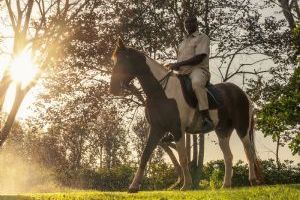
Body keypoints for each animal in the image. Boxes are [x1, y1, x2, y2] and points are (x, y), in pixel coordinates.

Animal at [109, 38, 262, 192]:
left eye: (123, 60)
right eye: (114, 61)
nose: (113, 89)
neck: (162, 92)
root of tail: (242, 93)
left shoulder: (177, 129)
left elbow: (183, 158)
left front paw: (187, 184)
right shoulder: (156, 129)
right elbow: (145, 155)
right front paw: (133, 186)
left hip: (242, 128)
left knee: (248, 152)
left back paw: (253, 180)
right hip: (222, 131)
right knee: (228, 156)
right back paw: (226, 185)